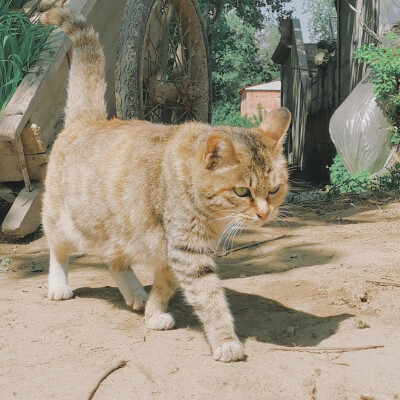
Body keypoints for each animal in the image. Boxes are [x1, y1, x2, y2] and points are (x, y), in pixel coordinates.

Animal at [39, 8, 290, 362]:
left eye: (274, 190)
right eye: (242, 191)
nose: (265, 213)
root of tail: (88, 119)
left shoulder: (172, 253)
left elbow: (165, 285)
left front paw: (154, 313)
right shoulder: (187, 251)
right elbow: (209, 297)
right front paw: (226, 341)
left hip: (121, 231)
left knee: (114, 261)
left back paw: (135, 293)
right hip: (68, 223)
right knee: (58, 251)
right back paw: (59, 285)